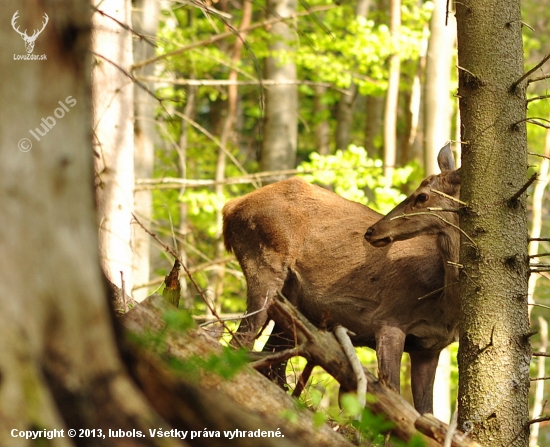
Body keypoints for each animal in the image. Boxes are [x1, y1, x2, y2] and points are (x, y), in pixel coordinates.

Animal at [223, 145, 462, 414]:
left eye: (422, 197)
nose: (372, 231)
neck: (444, 304)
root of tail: (229, 208)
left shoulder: (430, 347)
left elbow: (426, 412)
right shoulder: (389, 319)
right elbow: (393, 396)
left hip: (295, 307)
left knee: (272, 363)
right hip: (263, 263)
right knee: (240, 343)